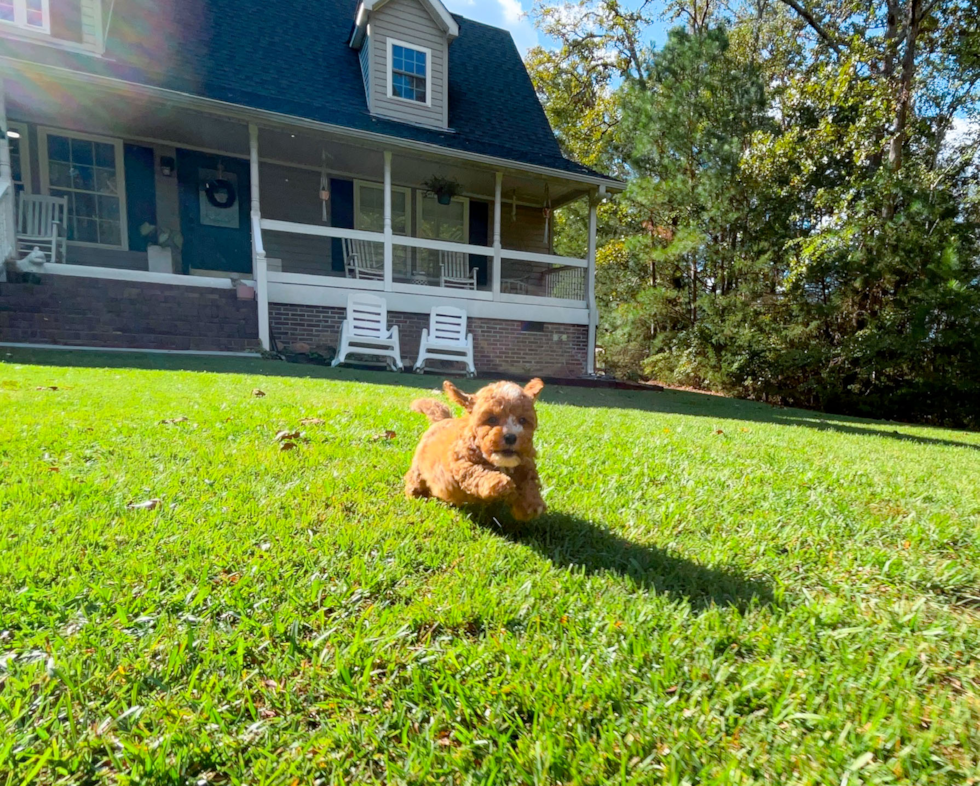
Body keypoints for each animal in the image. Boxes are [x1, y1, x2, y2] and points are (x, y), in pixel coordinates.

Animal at [402, 378, 548, 520]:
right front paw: (499, 482)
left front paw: (532, 504)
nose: (511, 437)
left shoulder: (525, 465)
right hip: (419, 467)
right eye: (492, 419)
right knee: (415, 479)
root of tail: (443, 420)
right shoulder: (461, 464)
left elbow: (529, 483)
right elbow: (477, 472)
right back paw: (415, 496)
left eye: (523, 420)